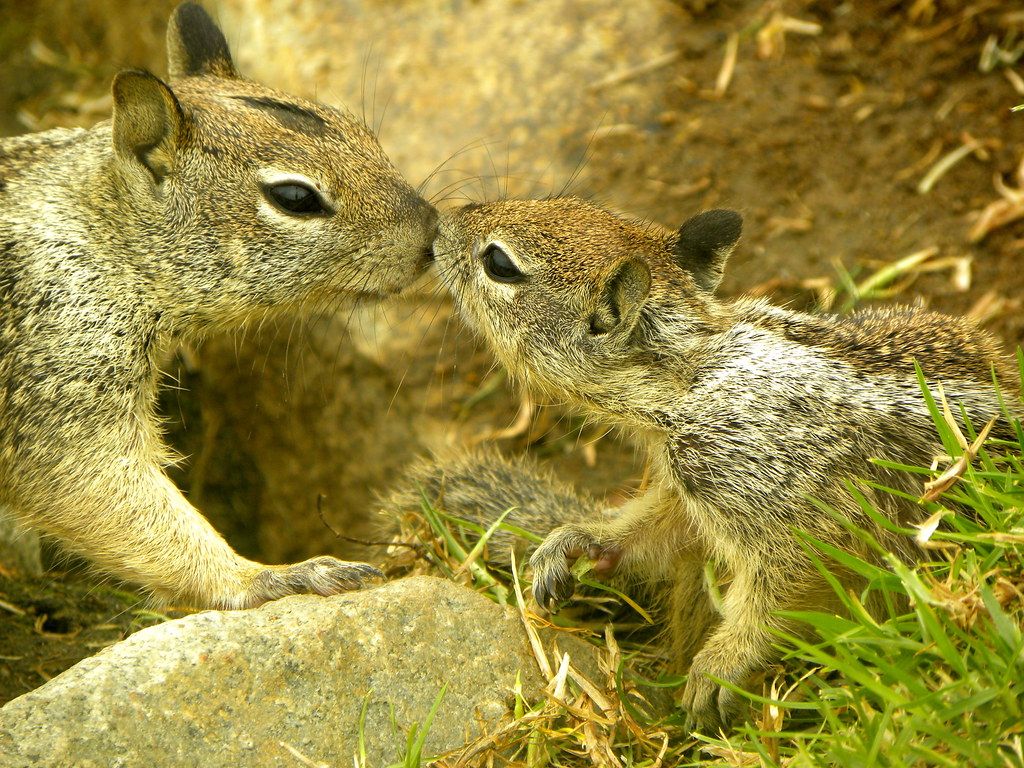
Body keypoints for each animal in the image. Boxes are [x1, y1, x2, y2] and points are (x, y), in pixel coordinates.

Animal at [0, 3, 437, 609]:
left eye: (362, 131)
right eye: (294, 198)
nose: (432, 234)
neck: (101, 231)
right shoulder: (59, 378)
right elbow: (97, 491)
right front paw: (269, 575)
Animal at [420, 196, 1018, 731]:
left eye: (499, 264)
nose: (439, 225)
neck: (691, 374)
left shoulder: (763, 487)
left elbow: (786, 582)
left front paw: (720, 667)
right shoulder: (689, 492)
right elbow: (654, 529)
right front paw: (575, 542)